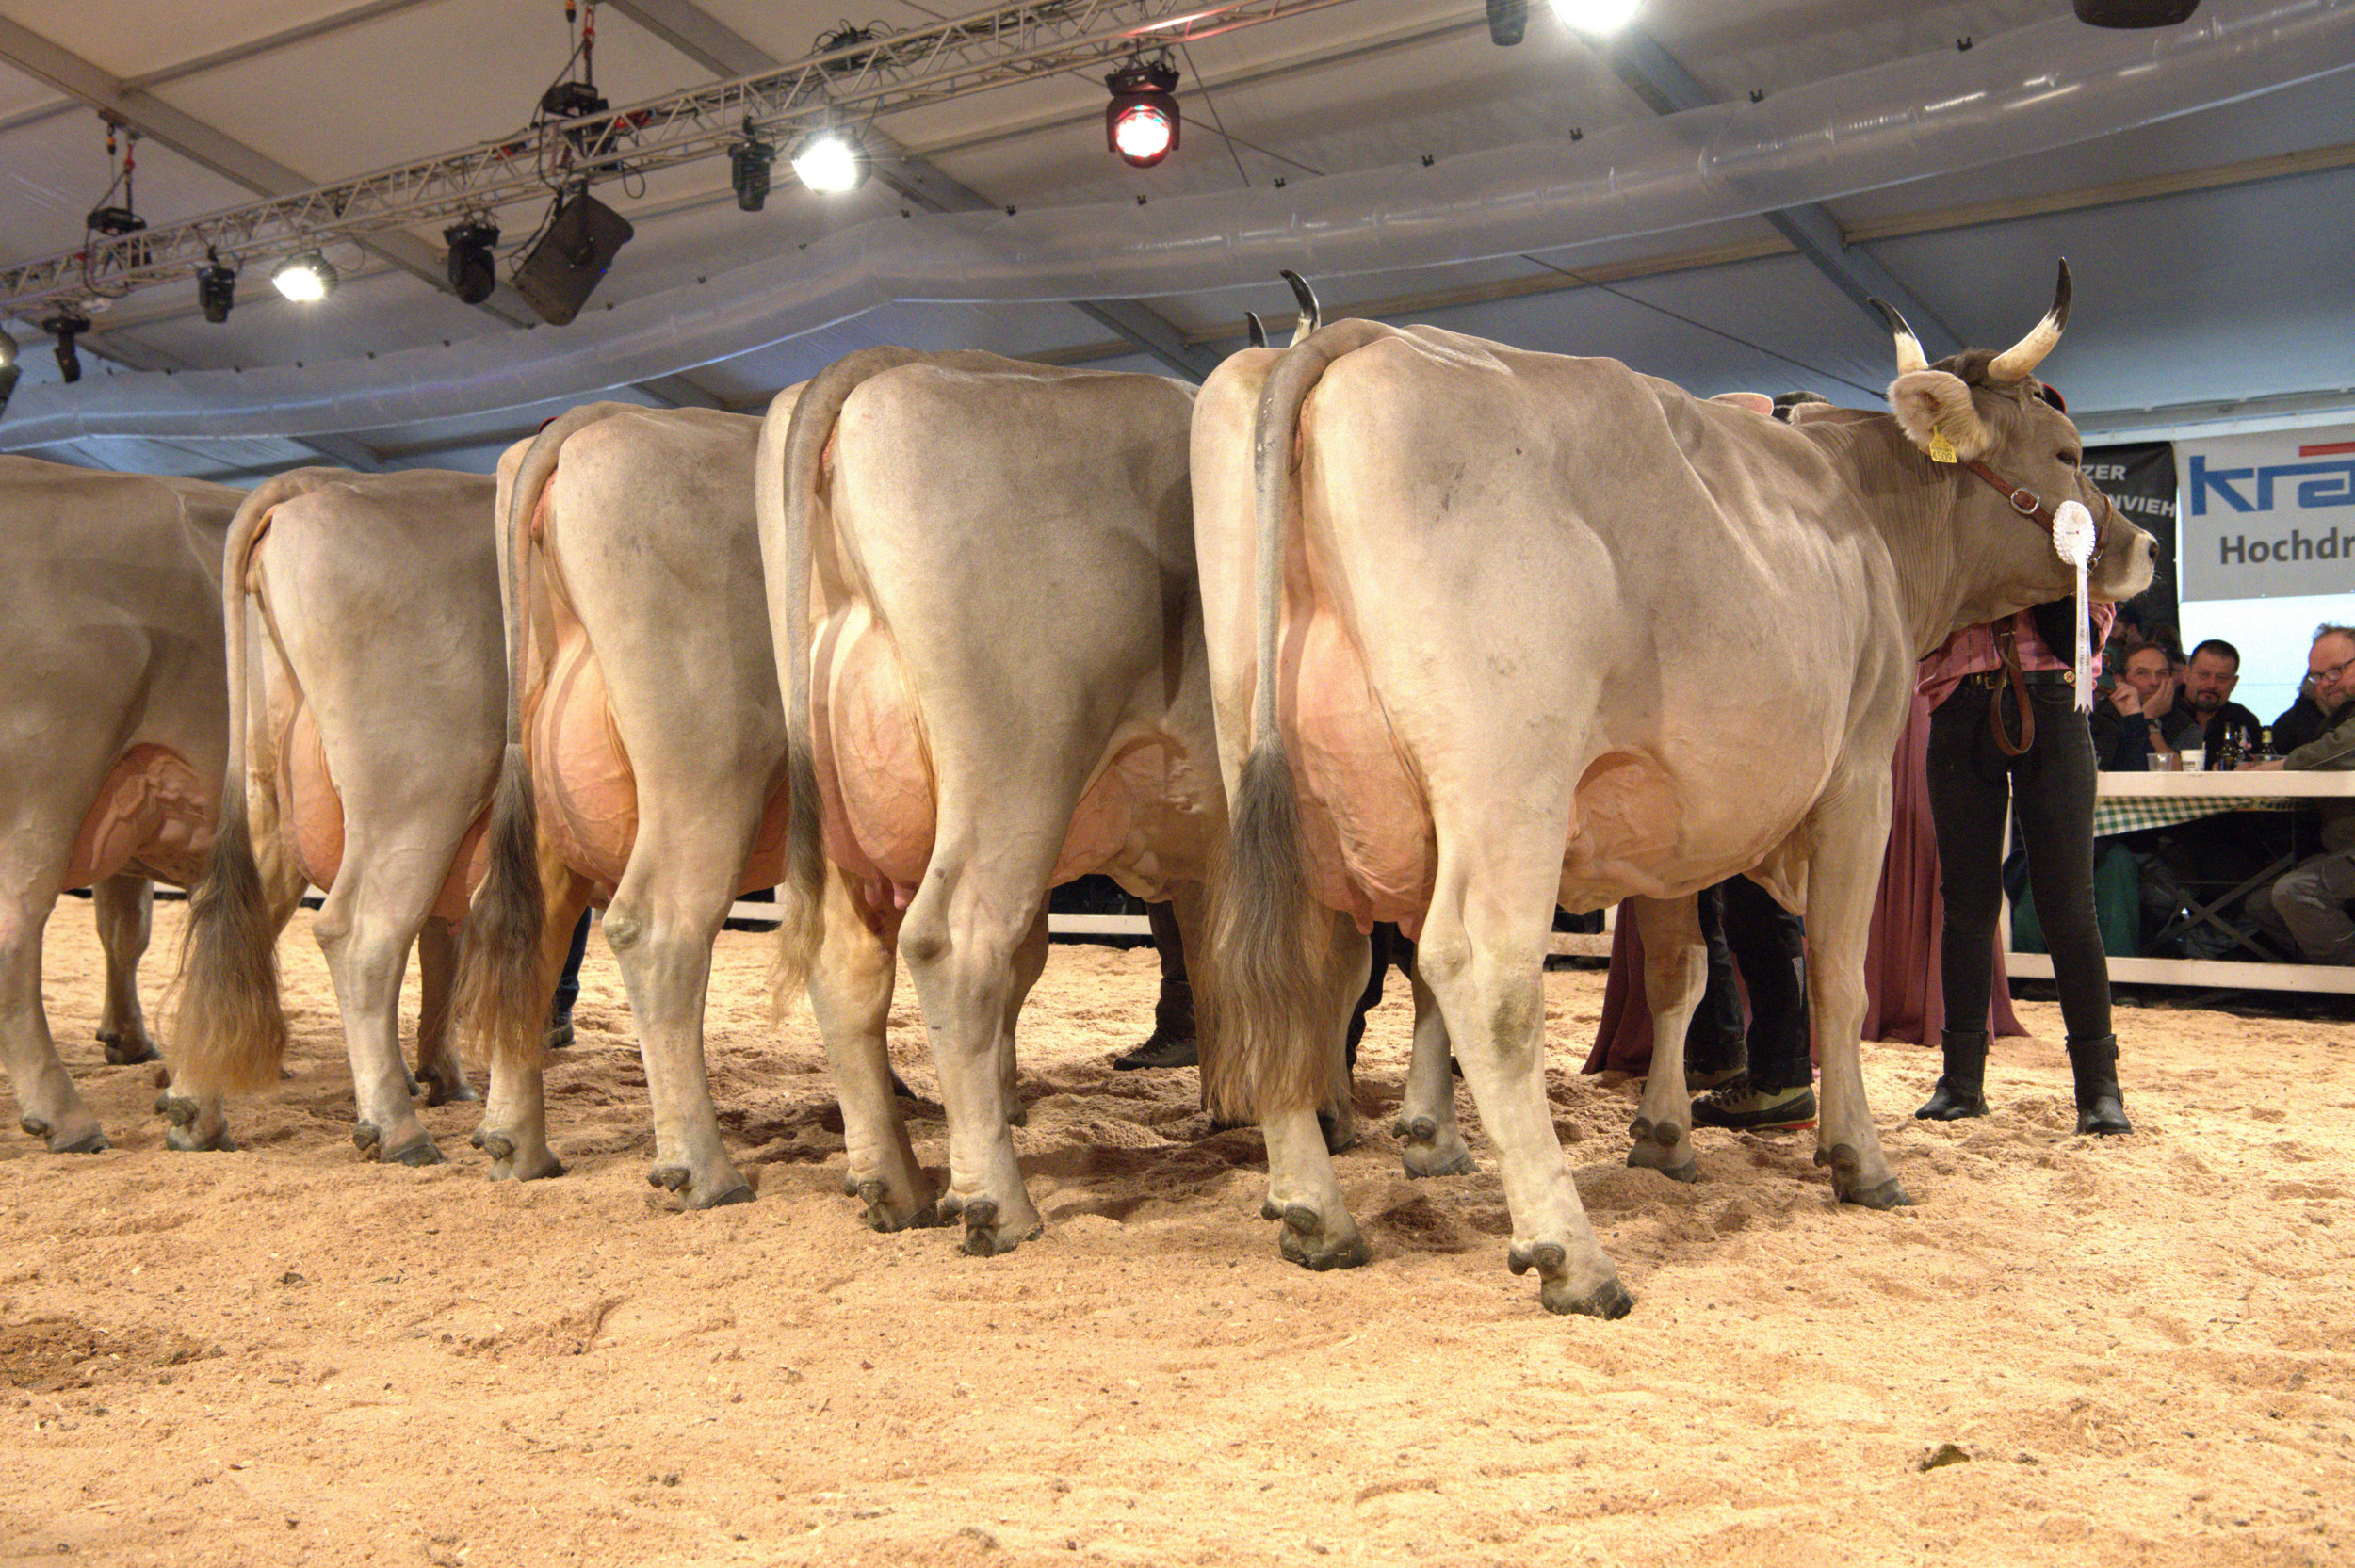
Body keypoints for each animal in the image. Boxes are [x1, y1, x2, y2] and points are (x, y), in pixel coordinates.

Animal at [161, 468, 503, 1160]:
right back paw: (398, 1129)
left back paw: (194, 1112)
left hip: (273, 794)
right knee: (361, 936)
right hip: (421, 789)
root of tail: (319, 482)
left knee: (241, 915)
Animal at [457, 402, 798, 1205]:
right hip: (706, 763)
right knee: (658, 928)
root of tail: (606, 414)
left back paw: (515, 1142)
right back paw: (704, 1170)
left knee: (528, 930)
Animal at [757, 348, 1254, 1255]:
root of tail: (884, 370)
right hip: (1017, 766)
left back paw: (896, 1185)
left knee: (848, 967)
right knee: (954, 944)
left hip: (841, 810)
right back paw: (997, 1202)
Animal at [1191, 263, 2154, 1316]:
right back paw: (1572, 1254)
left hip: (1279, 780)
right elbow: (1838, 976)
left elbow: (1680, 973)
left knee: (1295, 967)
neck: (1865, 514)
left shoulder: (1662, 814)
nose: (2142, 546)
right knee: (1481, 975)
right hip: (1505, 785)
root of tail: (1358, 336)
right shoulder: (1858, 781)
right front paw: (1858, 1159)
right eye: (2068, 453)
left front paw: (1663, 1137)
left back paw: (1314, 1213)